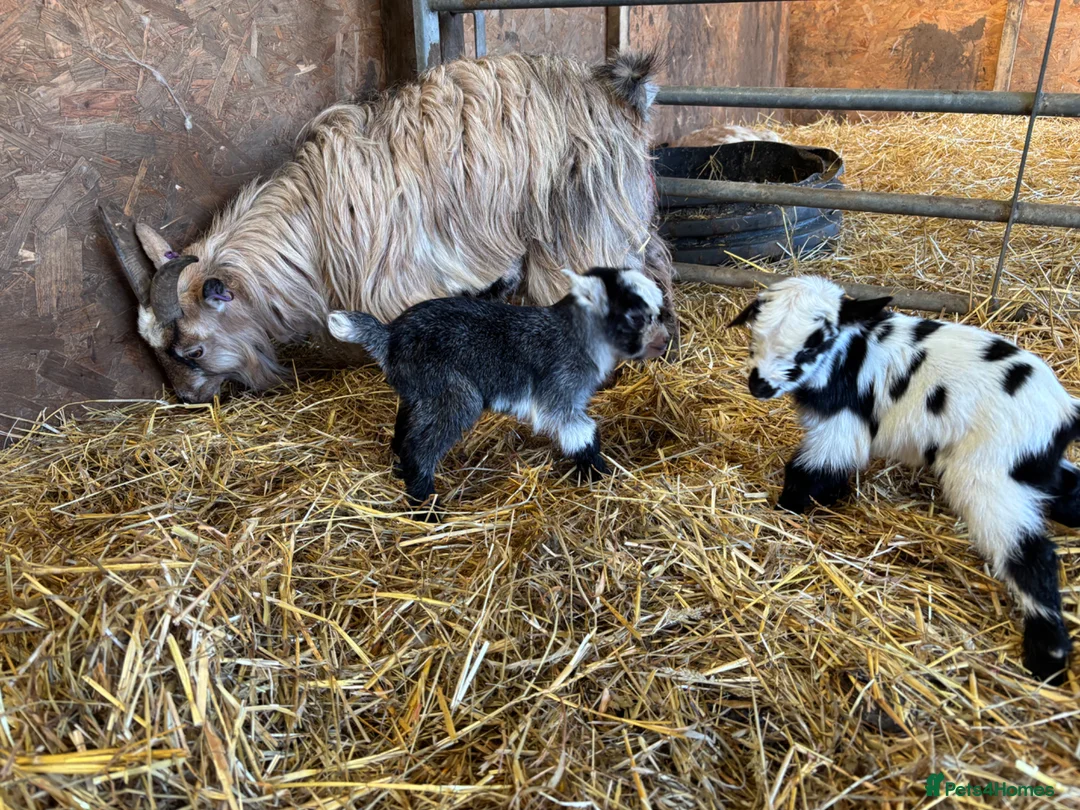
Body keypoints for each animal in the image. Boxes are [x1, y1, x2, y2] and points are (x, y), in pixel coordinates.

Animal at [327, 268, 669, 514]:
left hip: (419, 392)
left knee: (404, 427)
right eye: (636, 316)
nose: (664, 341)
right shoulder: (559, 392)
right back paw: (427, 508)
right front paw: (599, 473)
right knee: (421, 446)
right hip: (452, 392)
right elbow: (581, 432)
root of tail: (389, 336)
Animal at [730, 275, 1077, 684]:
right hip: (1025, 465)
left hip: (988, 475)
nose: (760, 386)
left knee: (1030, 554)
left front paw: (787, 510)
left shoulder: (842, 424)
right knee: (1068, 489)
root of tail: (1064, 412)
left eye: (816, 341)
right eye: (755, 328)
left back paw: (1048, 656)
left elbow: (812, 469)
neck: (851, 354)